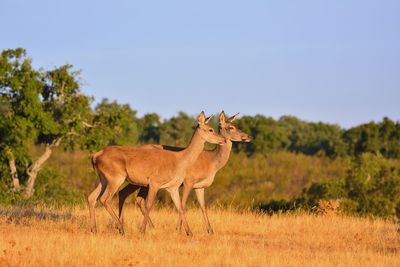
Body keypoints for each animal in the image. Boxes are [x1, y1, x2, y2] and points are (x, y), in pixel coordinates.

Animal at [87, 111, 225, 237]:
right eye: (211, 129)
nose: (223, 139)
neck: (180, 160)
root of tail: (95, 156)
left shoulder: (173, 187)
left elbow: (180, 207)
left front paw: (189, 232)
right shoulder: (154, 182)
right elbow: (149, 205)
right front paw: (142, 231)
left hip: (104, 179)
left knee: (92, 197)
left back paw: (94, 230)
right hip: (116, 178)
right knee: (105, 199)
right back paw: (120, 228)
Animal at [117, 111, 252, 234]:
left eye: (236, 125)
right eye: (231, 127)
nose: (248, 136)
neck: (212, 162)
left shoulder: (200, 186)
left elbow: (203, 206)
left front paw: (210, 230)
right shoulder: (188, 181)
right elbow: (183, 204)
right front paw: (179, 229)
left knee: (128, 195)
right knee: (133, 197)